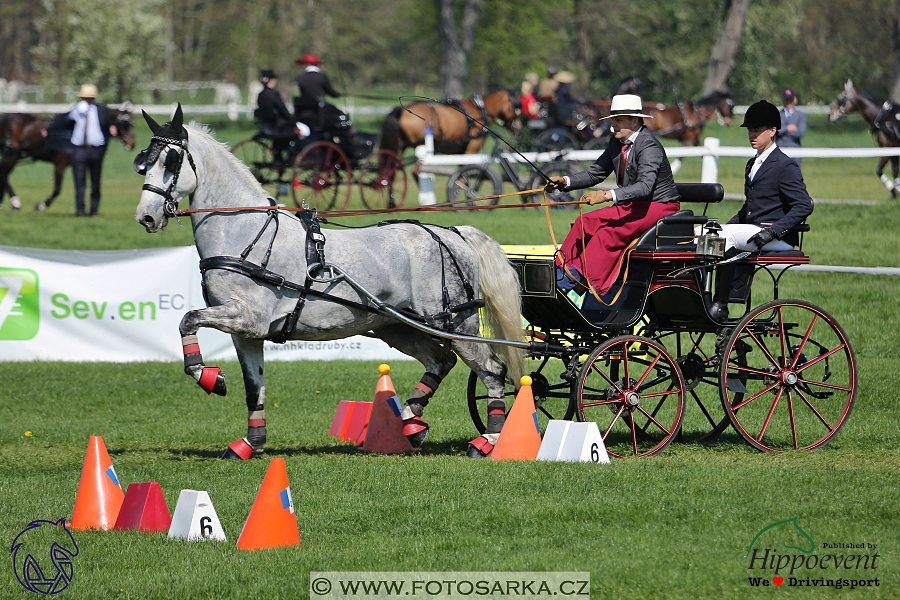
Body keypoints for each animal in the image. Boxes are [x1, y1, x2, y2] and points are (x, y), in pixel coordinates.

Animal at [0, 108, 137, 211]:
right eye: (125, 124)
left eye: (132, 124)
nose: (132, 143)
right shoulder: (60, 164)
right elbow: (57, 189)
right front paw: (42, 205)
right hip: (11, 155)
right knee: (4, 175)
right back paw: (15, 201)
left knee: (4, 175)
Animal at [135, 104, 528, 460]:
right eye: (143, 161)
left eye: (171, 161)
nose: (146, 218)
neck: (246, 231)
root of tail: (452, 232)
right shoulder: (245, 332)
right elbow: (253, 387)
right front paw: (249, 443)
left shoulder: (248, 317)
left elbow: (187, 319)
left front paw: (206, 376)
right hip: (397, 326)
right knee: (441, 361)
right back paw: (412, 423)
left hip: (454, 323)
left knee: (493, 370)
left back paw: (486, 441)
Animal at [380, 89, 520, 157]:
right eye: (516, 105)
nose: (518, 126)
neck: (479, 110)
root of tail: (401, 111)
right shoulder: (470, 150)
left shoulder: (459, 152)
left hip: (400, 147)